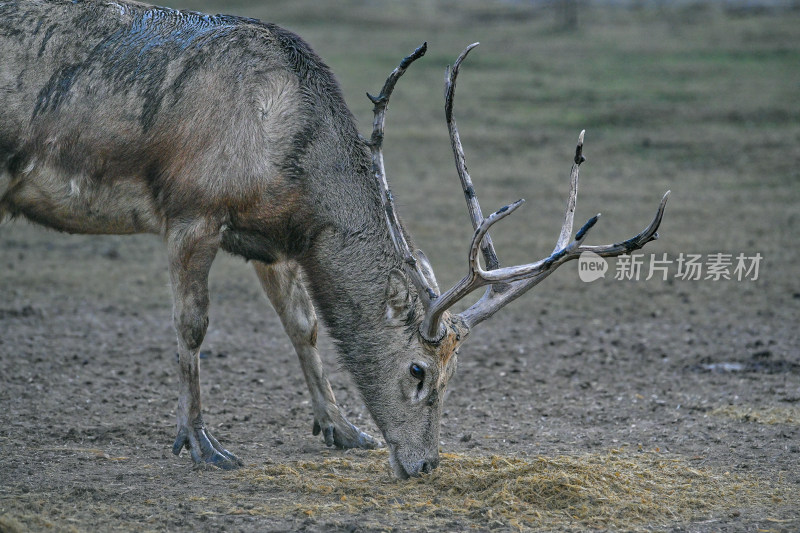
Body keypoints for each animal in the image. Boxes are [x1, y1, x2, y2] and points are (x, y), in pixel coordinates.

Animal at [0, 0, 668, 476]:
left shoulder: (273, 238)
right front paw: (198, 442)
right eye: (418, 370)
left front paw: (344, 430)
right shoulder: (193, 211)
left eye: (453, 374)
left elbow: (305, 326)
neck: (288, 161)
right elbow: (191, 327)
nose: (425, 465)